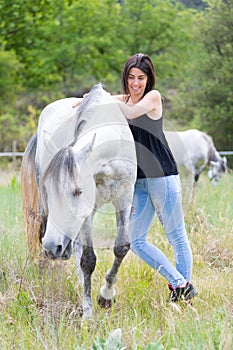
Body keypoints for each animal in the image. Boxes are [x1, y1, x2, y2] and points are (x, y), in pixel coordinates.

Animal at [21, 83, 137, 318]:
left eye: (78, 191)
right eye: (47, 189)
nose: (51, 247)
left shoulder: (124, 198)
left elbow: (121, 247)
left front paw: (106, 296)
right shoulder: (87, 213)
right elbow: (88, 259)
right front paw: (88, 311)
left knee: (73, 246)